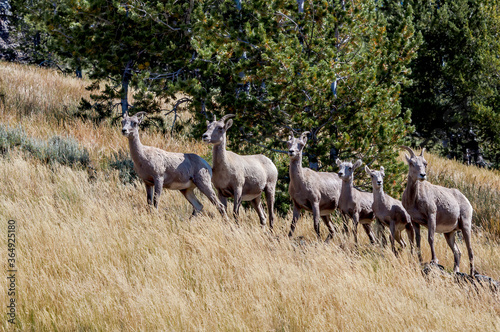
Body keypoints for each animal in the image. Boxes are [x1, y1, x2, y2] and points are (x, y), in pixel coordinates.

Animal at [398, 146, 476, 274]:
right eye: (411, 163)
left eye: (425, 163)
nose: (422, 175)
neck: (414, 199)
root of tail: (467, 201)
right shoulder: (415, 221)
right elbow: (418, 240)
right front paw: (420, 260)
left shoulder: (431, 215)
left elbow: (430, 238)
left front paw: (434, 260)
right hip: (449, 233)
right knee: (457, 251)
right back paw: (455, 271)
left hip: (465, 225)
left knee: (470, 250)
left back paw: (472, 273)